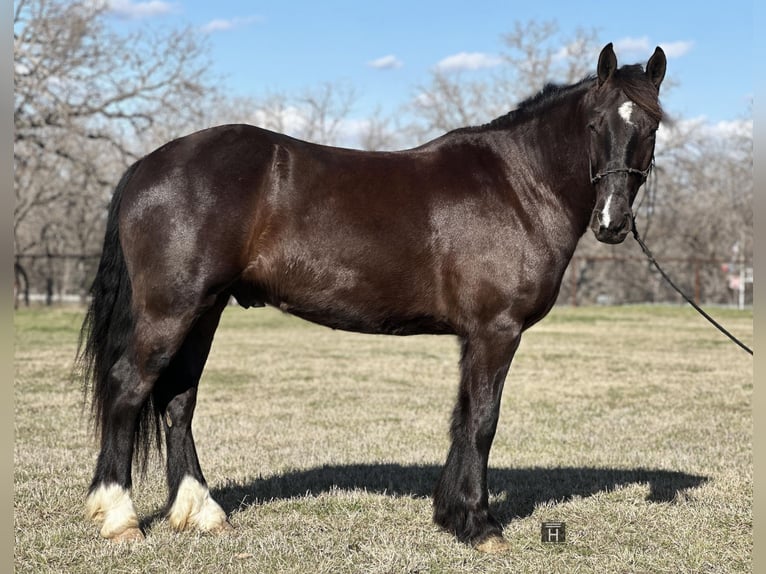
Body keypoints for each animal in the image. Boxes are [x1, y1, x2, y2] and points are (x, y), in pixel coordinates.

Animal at [76, 41, 664, 552]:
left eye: (652, 126)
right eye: (595, 124)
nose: (612, 222)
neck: (517, 185)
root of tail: (148, 164)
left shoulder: (474, 336)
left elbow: (462, 417)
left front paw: (451, 516)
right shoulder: (495, 331)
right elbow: (482, 421)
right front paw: (480, 526)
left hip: (204, 311)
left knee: (179, 399)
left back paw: (201, 512)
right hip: (171, 310)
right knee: (129, 387)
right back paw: (120, 517)